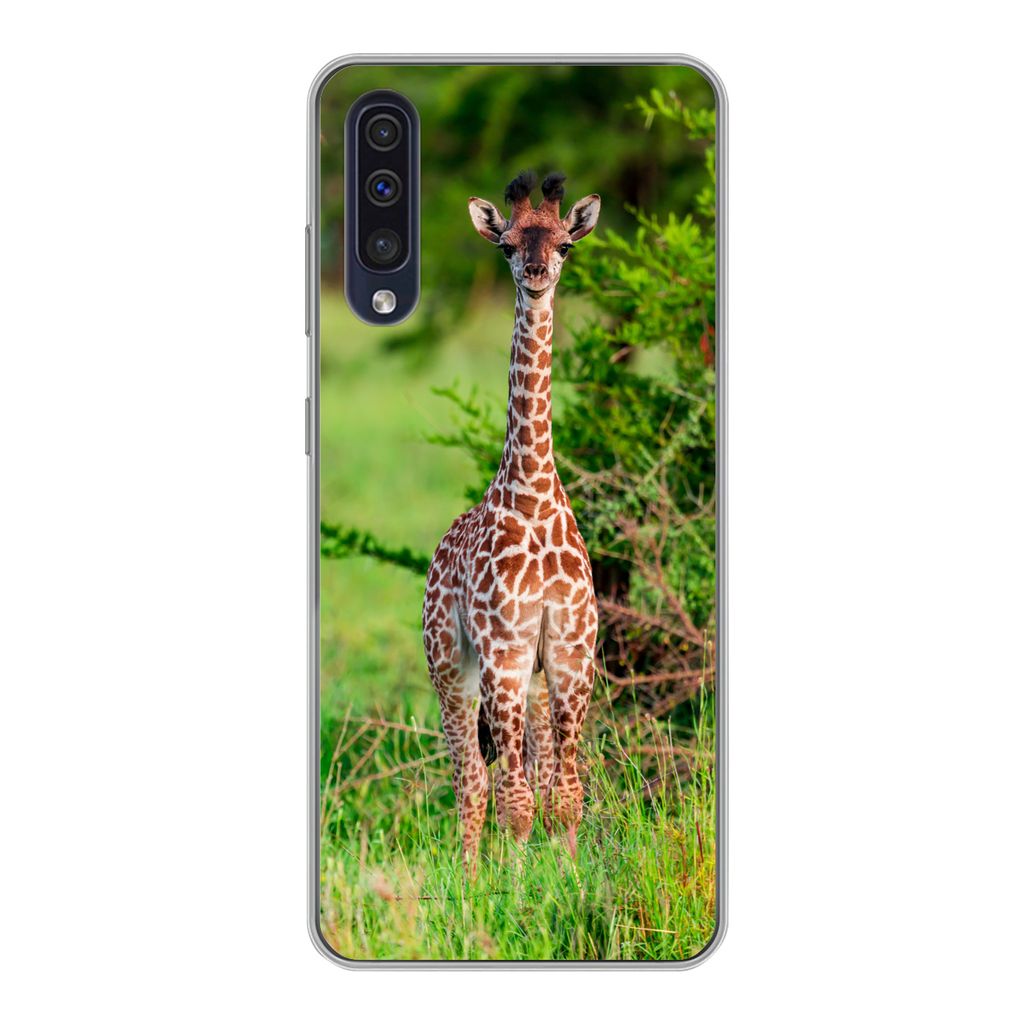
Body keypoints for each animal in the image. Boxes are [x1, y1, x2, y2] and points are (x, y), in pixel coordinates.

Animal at [422, 171, 601, 876]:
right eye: (505, 244)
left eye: (565, 244)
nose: (536, 271)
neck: (532, 494)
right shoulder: (501, 651)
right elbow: (517, 802)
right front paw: (519, 889)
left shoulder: (571, 652)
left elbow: (564, 794)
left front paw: (572, 880)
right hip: (451, 665)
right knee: (472, 780)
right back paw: (472, 881)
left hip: (531, 676)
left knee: (533, 772)